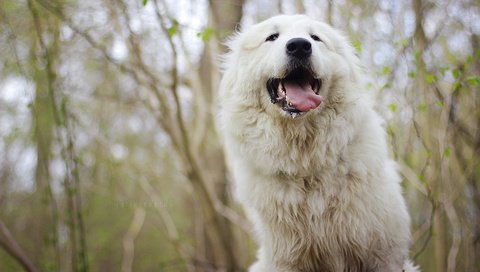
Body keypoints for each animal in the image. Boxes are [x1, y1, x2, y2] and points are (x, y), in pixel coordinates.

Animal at [218, 15, 420, 272]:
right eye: (272, 37)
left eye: (315, 38)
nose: (299, 46)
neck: (306, 164)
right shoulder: (287, 259)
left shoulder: (382, 254)